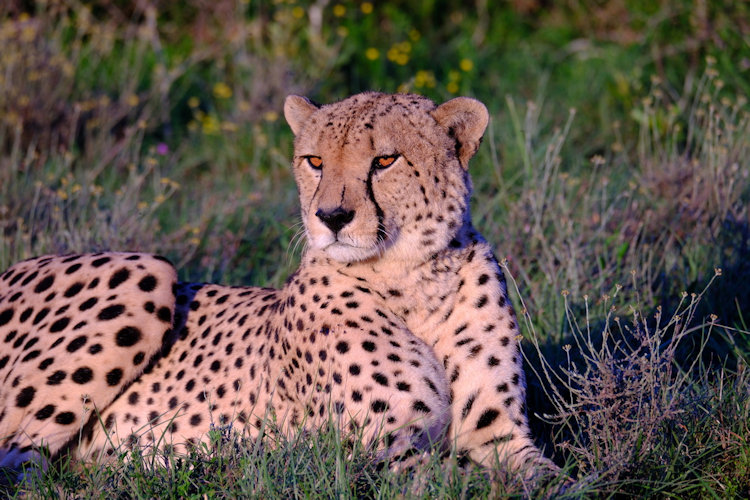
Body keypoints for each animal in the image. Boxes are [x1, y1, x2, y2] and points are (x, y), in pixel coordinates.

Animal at [0, 92, 556, 480]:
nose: (331, 217)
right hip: (145, 272)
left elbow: (551, 478)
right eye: (315, 162)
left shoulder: (500, 437)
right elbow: (465, 482)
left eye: (384, 161)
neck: (414, 282)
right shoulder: (385, 453)